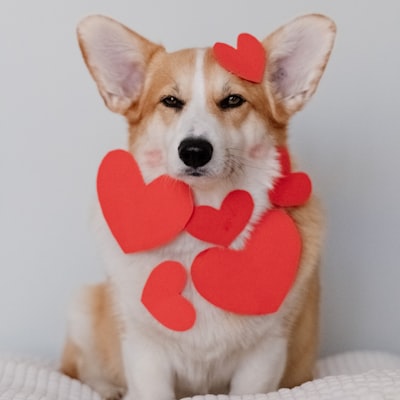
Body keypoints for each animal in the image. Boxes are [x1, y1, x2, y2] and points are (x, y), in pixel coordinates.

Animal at [61, 14, 336, 400]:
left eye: (233, 100)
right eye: (170, 101)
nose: (194, 151)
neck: (205, 221)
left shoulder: (264, 353)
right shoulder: (146, 353)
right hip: (83, 305)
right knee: (79, 370)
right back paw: (111, 389)